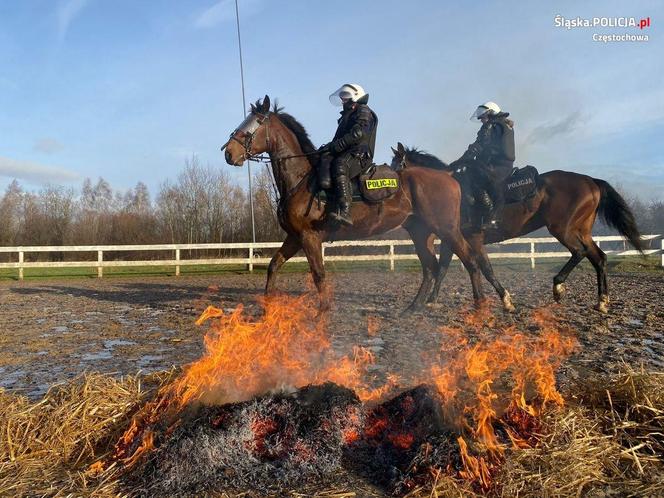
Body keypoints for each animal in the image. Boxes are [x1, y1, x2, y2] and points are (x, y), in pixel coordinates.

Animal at [220, 97, 510, 312]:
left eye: (256, 123)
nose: (228, 153)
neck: (301, 179)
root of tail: (449, 176)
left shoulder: (309, 237)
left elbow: (319, 275)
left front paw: (323, 311)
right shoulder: (295, 236)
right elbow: (273, 265)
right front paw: (267, 304)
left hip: (447, 229)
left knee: (470, 261)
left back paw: (481, 305)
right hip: (420, 232)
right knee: (432, 267)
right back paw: (413, 308)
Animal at [392, 142, 644, 314]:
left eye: (397, 168)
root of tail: (591, 181)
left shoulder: (473, 238)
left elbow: (485, 268)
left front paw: (506, 300)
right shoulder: (450, 239)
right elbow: (444, 267)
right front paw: (431, 300)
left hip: (562, 229)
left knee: (579, 252)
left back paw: (558, 286)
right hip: (581, 231)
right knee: (598, 258)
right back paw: (602, 302)